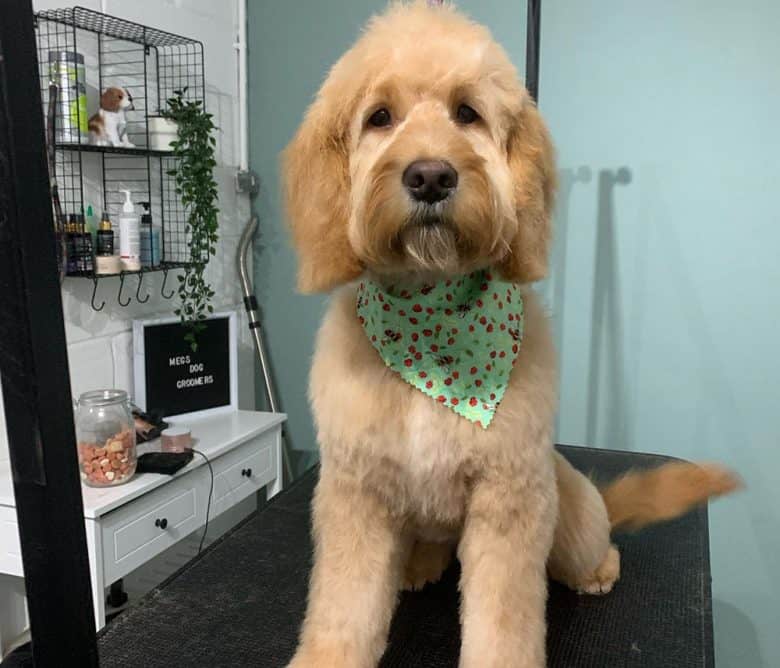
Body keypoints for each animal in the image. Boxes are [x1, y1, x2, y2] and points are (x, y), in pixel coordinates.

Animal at [280, 2, 736, 664]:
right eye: (379, 117)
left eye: (467, 112)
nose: (430, 176)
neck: (431, 337)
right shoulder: (355, 494)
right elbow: (343, 608)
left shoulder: (509, 497)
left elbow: (502, 618)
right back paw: (418, 563)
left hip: (564, 507)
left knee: (592, 541)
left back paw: (598, 567)